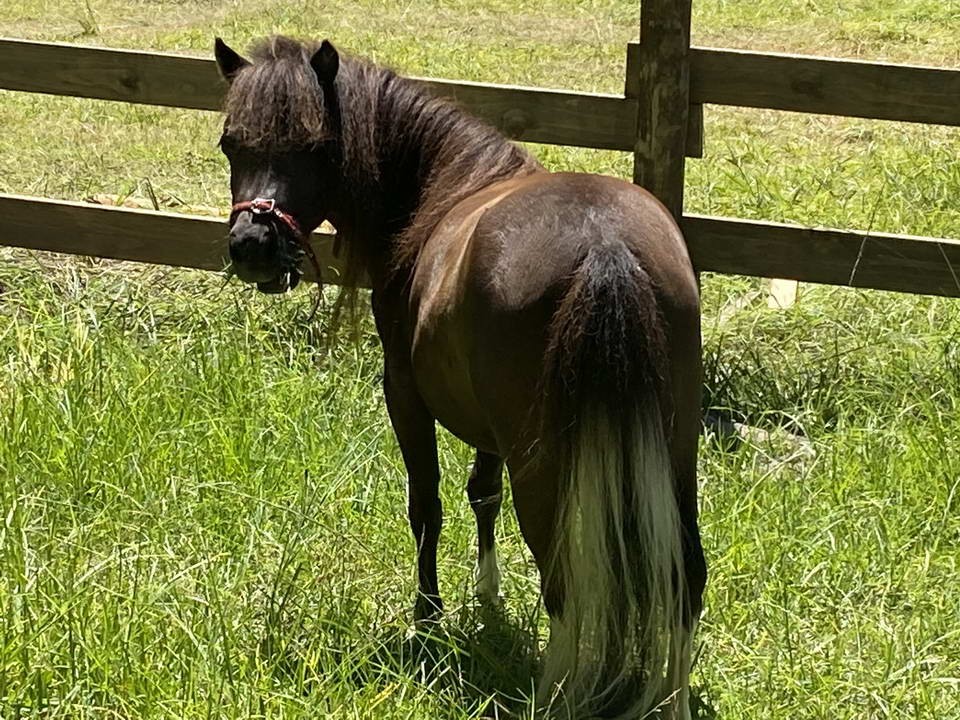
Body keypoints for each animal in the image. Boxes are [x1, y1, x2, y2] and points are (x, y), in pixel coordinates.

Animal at [213, 35, 706, 719]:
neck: (444, 188)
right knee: (685, 572)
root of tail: (604, 244)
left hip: (544, 464)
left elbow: (426, 506)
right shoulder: (487, 427)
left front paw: (429, 617)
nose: (252, 245)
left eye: (316, 147)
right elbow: (481, 493)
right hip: (672, 449)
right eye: (232, 143)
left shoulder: (404, 394)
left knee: (563, 580)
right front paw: (487, 598)